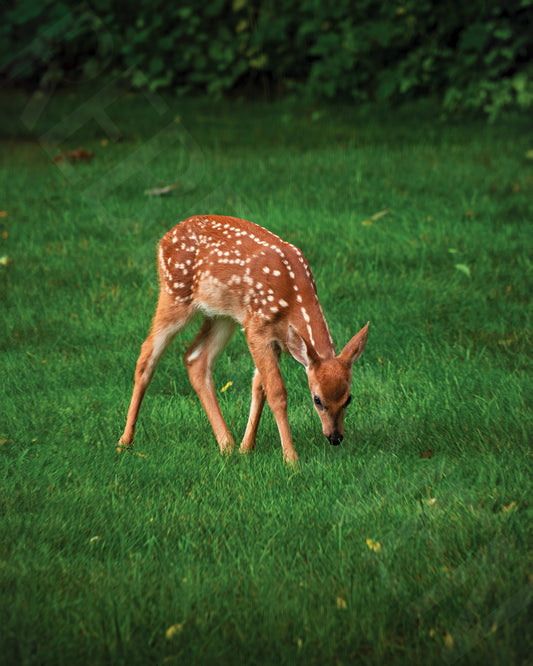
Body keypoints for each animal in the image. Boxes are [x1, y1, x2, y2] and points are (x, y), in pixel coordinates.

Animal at [117, 217, 366, 462]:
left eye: (349, 398)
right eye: (317, 400)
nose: (335, 437)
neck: (293, 297)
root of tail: (165, 238)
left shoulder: (275, 339)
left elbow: (259, 386)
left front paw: (247, 448)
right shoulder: (257, 327)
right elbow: (276, 392)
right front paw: (291, 459)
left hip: (221, 315)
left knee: (196, 358)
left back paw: (227, 445)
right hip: (175, 293)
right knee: (147, 353)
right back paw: (125, 441)